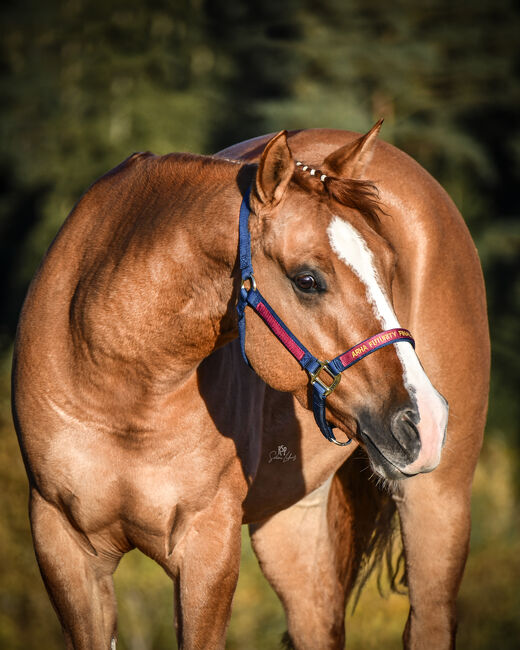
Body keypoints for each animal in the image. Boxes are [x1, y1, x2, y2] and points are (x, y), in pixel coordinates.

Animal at [12, 123, 490, 648]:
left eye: (390, 267)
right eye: (307, 280)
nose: (425, 419)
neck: (119, 383)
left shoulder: (208, 547)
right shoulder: (63, 545)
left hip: (438, 501)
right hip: (290, 525)